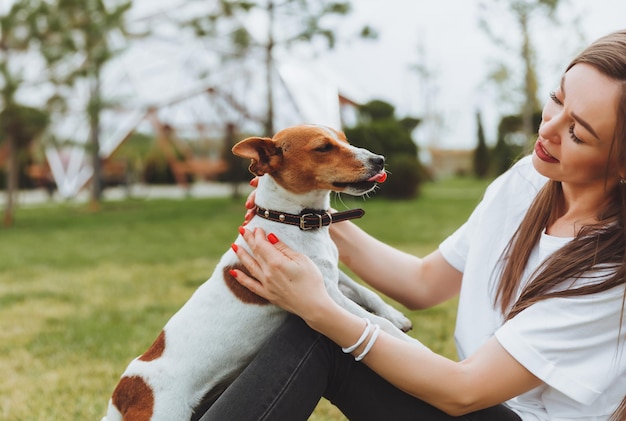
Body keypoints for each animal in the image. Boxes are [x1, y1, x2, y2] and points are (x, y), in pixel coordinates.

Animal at [102, 124, 412, 420]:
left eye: (345, 140)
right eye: (323, 147)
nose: (379, 159)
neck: (294, 220)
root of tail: (122, 392)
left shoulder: (332, 277)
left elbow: (367, 293)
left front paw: (395, 316)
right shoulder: (323, 292)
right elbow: (374, 322)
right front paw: (407, 344)